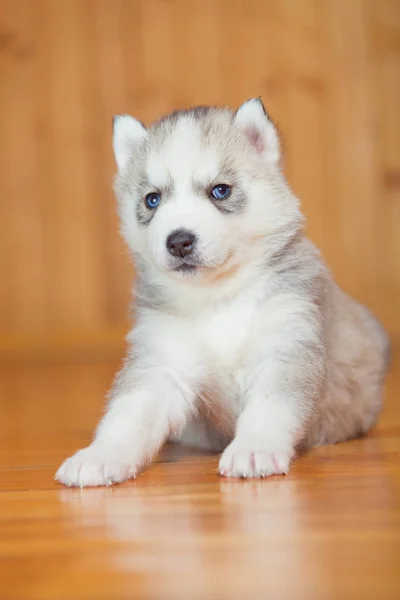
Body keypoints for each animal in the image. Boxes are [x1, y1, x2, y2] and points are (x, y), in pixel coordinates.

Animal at [54, 97, 390, 482]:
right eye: (152, 199)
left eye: (220, 191)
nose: (179, 241)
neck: (217, 297)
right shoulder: (161, 362)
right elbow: (127, 415)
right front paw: (101, 455)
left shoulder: (286, 345)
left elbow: (269, 409)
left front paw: (254, 449)